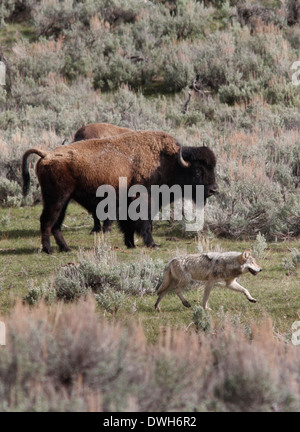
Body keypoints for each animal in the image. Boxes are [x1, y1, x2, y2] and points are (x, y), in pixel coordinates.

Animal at [21, 130, 218, 255]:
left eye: (213, 168)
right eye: (198, 171)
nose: (213, 189)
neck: (168, 162)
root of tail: (46, 155)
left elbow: (128, 225)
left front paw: (130, 244)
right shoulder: (144, 201)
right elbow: (145, 224)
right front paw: (152, 244)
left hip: (64, 200)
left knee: (56, 224)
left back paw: (66, 249)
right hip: (56, 199)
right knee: (47, 221)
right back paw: (49, 250)